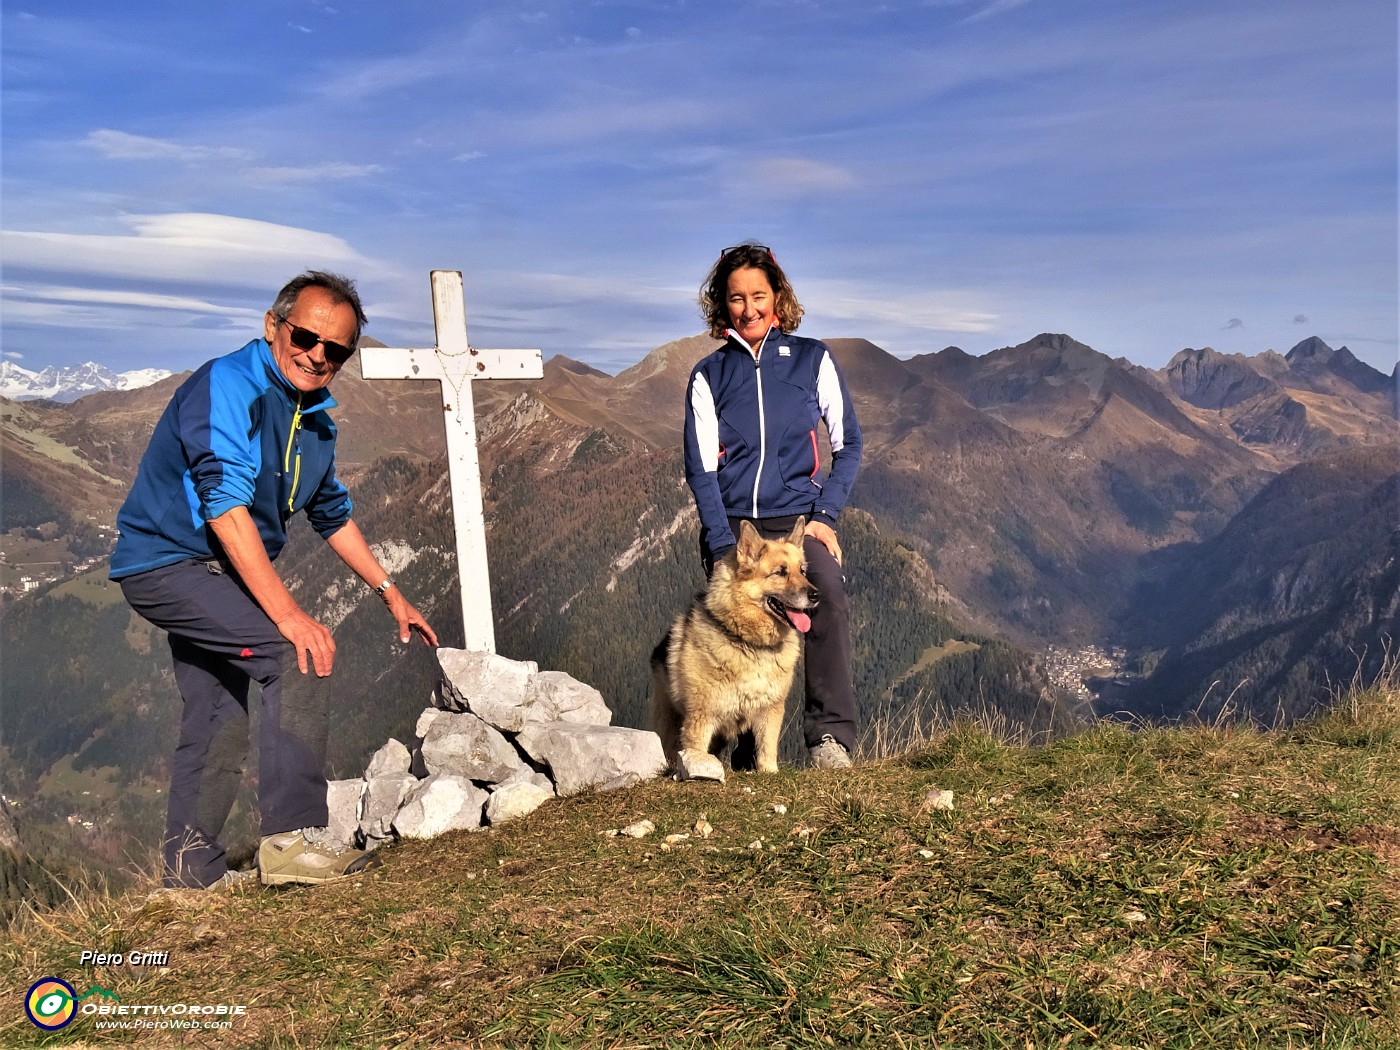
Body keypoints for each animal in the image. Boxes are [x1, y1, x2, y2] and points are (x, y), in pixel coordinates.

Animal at [646, 518, 817, 772]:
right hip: (669, 720)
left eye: (802, 571)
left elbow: (767, 749)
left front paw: (769, 772)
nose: (816, 595)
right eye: (780, 572)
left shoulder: (770, 711)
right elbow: (695, 751)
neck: (749, 643)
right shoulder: (700, 716)